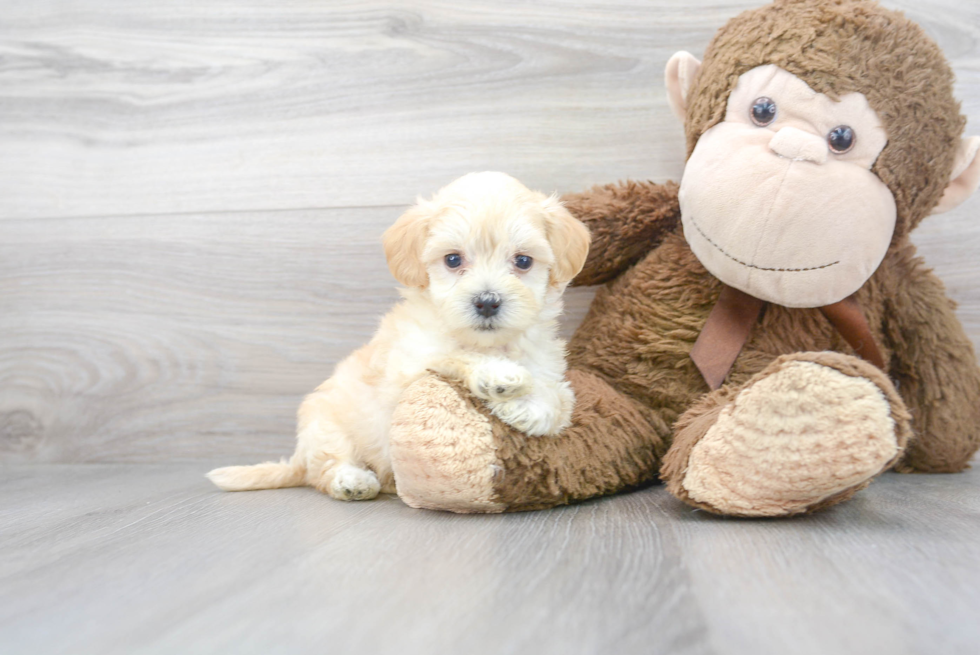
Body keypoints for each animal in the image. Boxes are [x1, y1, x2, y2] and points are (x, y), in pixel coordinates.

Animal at [207, 172, 588, 500]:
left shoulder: (548, 366)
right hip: (325, 425)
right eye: (453, 259)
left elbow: (561, 398)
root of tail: (299, 456)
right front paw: (499, 375)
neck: (490, 342)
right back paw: (353, 481)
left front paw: (532, 407)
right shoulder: (411, 363)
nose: (487, 302)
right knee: (325, 468)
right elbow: (457, 355)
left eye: (523, 261)